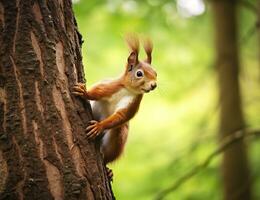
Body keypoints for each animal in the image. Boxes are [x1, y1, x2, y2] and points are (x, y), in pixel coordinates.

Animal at [73, 34, 157, 178]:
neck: (128, 90)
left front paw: (99, 126)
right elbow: (96, 92)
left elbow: (122, 116)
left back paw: (107, 169)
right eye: (139, 73)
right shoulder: (110, 87)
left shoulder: (133, 103)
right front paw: (85, 92)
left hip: (118, 139)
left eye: (156, 73)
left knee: (111, 147)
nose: (154, 85)